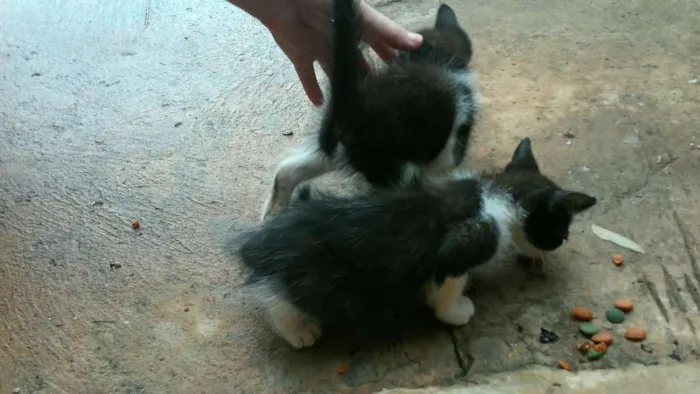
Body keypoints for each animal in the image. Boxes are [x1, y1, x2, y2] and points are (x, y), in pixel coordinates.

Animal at [235, 139, 596, 348]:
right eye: (560, 232)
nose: (555, 248)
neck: (498, 197)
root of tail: (261, 241)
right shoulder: (465, 243)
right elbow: (449, 278)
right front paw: (455, 311)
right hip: (313, 276)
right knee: (276, 292)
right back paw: (298, 329)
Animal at [260, 0, 478, 220]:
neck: (439, 62)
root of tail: (354, 107)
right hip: (386, 162)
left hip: (340, 144)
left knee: (287, 170)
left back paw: (274, 212)